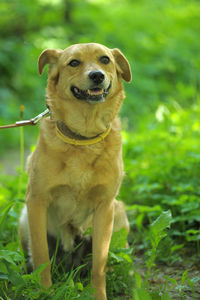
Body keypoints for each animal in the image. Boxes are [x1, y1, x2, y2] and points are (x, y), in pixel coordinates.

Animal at [18, 42, 131, 300]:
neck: (83, 138)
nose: (97, 75)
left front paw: (98, 295)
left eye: (104, 59)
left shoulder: (104, 207)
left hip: (119, 214)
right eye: (74, 63)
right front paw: (45, 291)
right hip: (23, 218)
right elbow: (41, 256)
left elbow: (99, 265)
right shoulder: (36, 201)